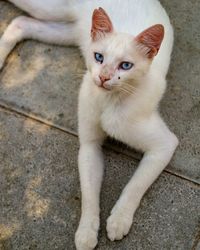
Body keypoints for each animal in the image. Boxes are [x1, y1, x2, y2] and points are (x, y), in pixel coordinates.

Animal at [0, 0, 178, 250]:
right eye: (99, 57)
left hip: (68, 30)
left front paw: (119, 220)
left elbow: (136, 185)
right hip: (51, 10)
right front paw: (86, 231)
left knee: (21, 22)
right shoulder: (89, 146)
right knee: (22, 19)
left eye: (126, 65)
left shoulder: (164, 145)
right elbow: (88, 192)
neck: (110, 102)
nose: (103, 77)